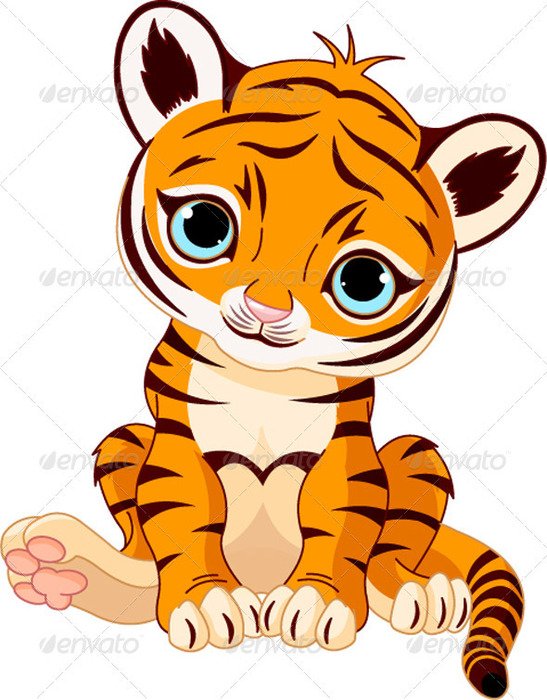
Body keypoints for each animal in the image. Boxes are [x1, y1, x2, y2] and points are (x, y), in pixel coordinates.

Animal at [2, 2, 544, 697]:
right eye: (205, 226)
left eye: (363, 281)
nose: (267, 310)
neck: (263, 382)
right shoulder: (175, 441)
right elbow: (181, 513)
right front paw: (207, 603)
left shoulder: (347, 453)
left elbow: (342, 526)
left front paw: (317, 604)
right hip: (125, 443)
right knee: (142, 554)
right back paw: (65, 567)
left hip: (414, 458)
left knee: (395, 549)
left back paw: (422, 594)